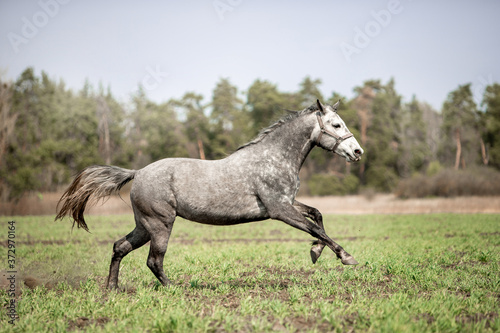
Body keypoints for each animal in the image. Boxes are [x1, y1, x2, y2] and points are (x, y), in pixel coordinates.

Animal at [55, 98, 364, 288]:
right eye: (336, 125)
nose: (358, 152)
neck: (273, 158)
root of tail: (138, 172)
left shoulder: (287, 204)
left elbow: (317, 216)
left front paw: (315, 252)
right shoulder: (279, 210)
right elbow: (316, 228)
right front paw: (346, 256)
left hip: (144, 225)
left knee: (120, 247)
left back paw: (113, 288)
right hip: (160, 224)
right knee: (154, 260)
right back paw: (174, 289)